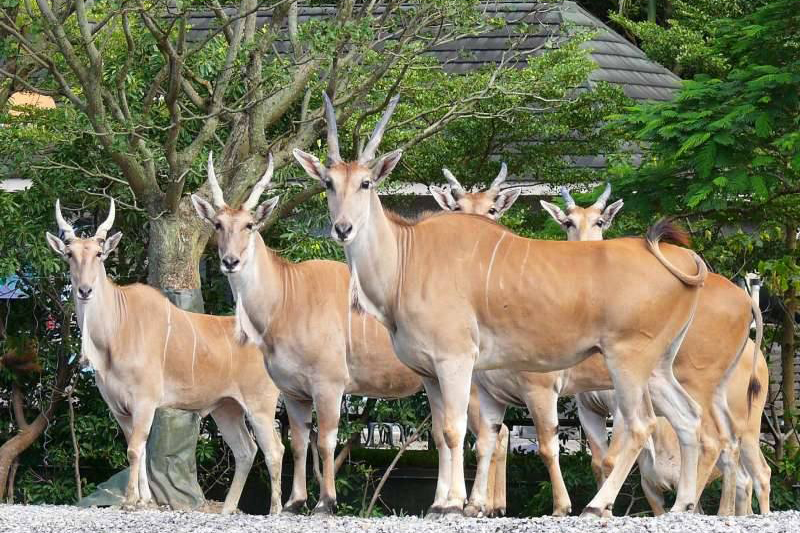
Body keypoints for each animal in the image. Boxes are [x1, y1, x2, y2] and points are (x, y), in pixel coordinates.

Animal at [44, 198, 284, 512]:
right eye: (69, 254)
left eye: (99, 254)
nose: (85, 290)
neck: (116, 329)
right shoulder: (119, 408)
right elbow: (140, 449)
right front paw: (145, 499)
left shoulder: (144, 401)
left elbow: (135, 449)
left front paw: (130, 500)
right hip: (226, 408)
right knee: (246, 450)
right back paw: (228, 509)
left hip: (260, 405)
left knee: (275, 449)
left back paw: (276, 509)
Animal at [294, 93, 724, 516]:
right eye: (328, 183)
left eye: (366, 182)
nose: (343, 228)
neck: (407, 258)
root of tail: (684, 260)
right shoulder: (431, 373)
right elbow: (445, 433)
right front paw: (441, 503)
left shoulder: (456, 361)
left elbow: (454, 431)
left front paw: (455, 504)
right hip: (659, 366)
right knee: (688, 419)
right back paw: (682, 504)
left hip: (629, 361)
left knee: (641, 426)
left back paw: (597, 506)